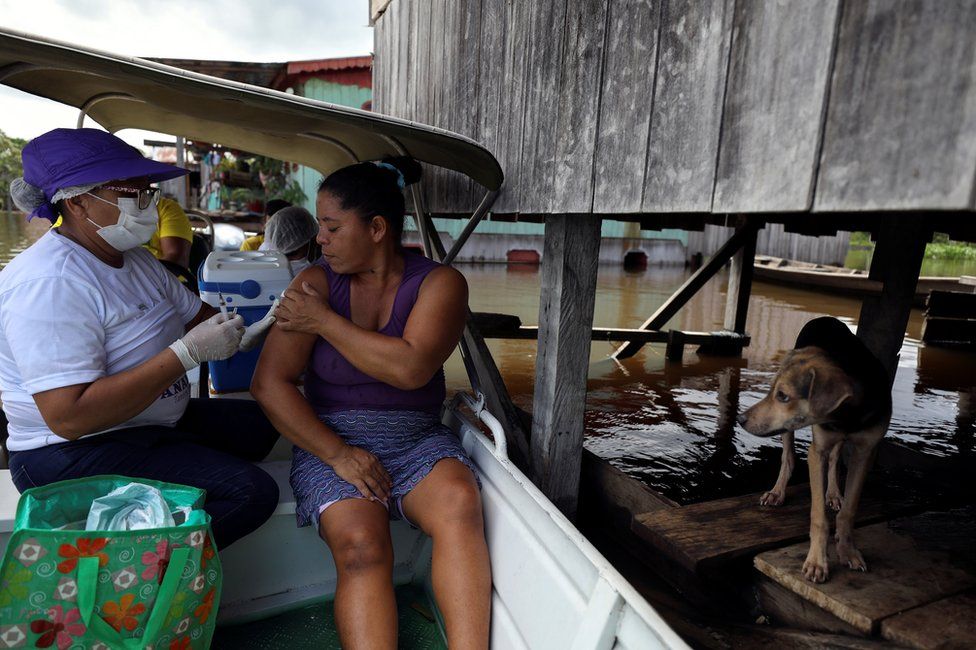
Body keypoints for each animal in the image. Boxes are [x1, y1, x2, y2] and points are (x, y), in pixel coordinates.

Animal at [740, 316, 892, 584]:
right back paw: (777, 492)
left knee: (835, 458)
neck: (847, 416)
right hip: (789, 429)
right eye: (772, 392)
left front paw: (847, 550)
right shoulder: (816, 451)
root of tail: (825, 318)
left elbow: (849, 510)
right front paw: (817, 562)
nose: (741, 419)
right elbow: (819, 517)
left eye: (783, 396)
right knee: (788, 457)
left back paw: (833, 493)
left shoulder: (865, 452)